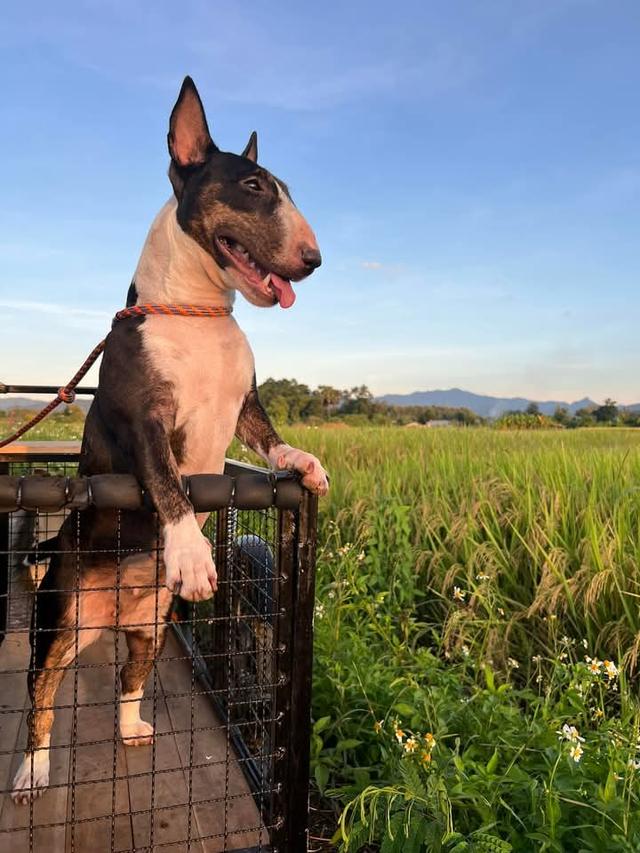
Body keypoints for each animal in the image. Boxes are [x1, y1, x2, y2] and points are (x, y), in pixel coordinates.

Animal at [11, 76, 328, 804]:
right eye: (253, 186)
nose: (314, 260)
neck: (201, 309)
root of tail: (111, 613)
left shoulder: (245, 401)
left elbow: (267, 436)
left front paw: (302, 461)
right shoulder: (142, 419)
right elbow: (166, 479)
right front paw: (190, 550)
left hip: (152, 628)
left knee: (129, 682)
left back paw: (131, 727)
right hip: (56, 622)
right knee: (41, 698)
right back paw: (33, 769)